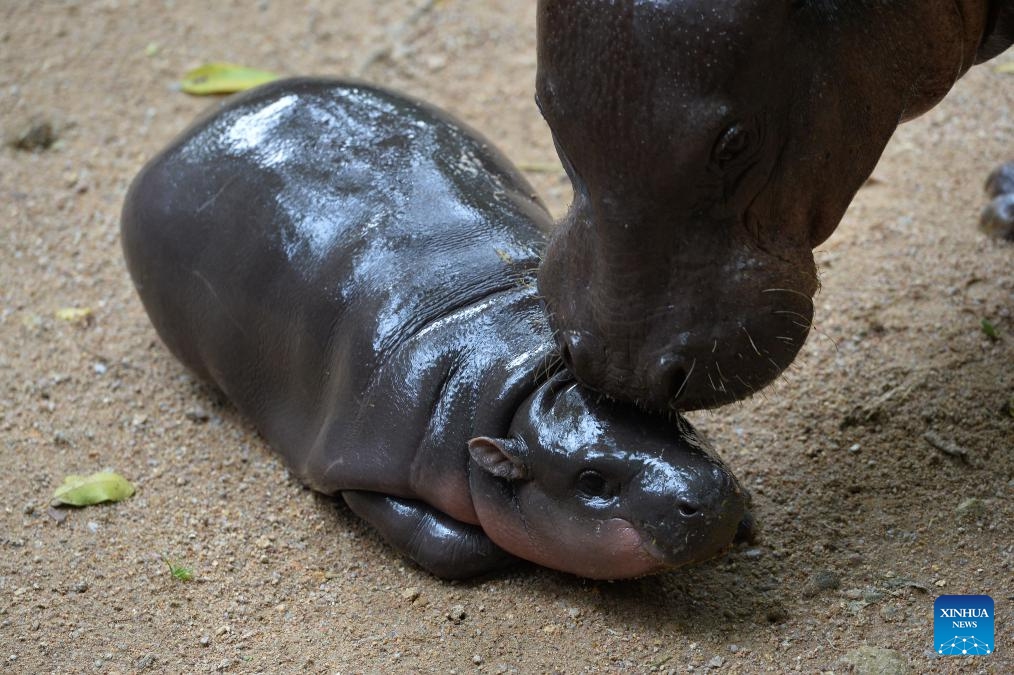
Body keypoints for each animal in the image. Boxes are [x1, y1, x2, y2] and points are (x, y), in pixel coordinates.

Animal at [120, 77, 754, 579]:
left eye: (671, 417)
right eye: (591, 481)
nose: (706, 495)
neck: (519, 375)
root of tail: (189, 134)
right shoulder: (360, 466)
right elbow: (447, 543)